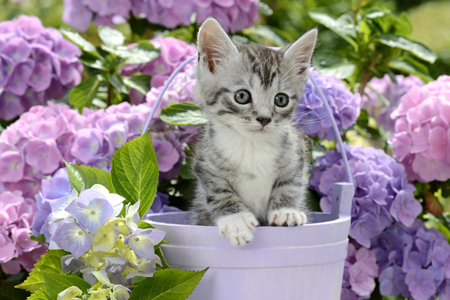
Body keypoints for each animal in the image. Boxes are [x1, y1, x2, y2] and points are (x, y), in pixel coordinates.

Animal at [190, 17, 316, 245]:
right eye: (242, 96)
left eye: (281, 99)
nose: (264, 119)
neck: (252, 146)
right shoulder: (205, 164)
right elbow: (219, 191)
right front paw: (236, 220)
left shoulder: (296, 153)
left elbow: (291, 182)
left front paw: (286, 210)